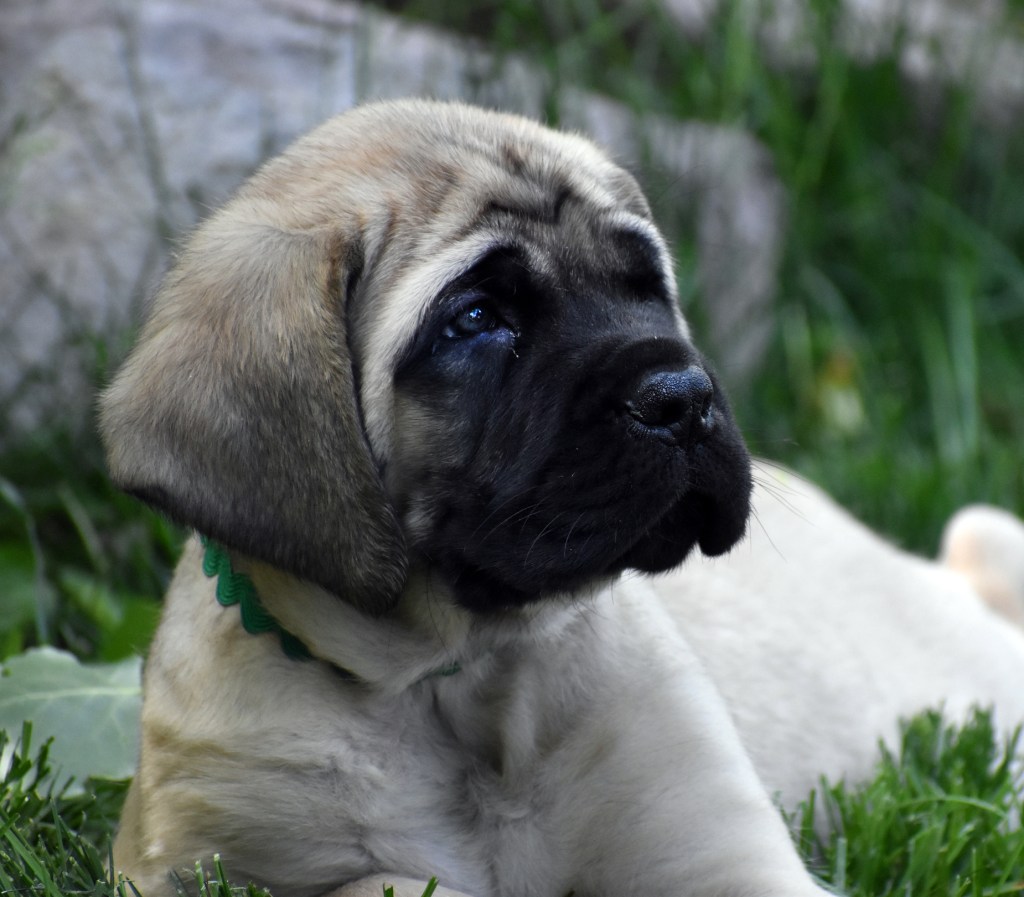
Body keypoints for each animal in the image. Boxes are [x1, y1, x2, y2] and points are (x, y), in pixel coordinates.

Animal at [99, 98, 1024, 897]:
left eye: (645, 287)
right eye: (475, 319)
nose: (684, 398)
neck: (455, 684)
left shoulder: (722, 849)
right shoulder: (201, 861)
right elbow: (372, 879)